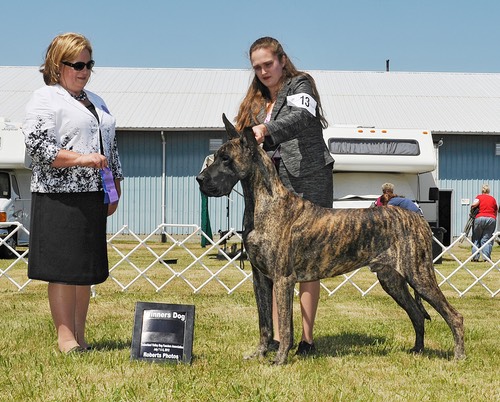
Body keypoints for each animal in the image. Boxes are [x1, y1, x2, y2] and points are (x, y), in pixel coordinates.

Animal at [196, 114, 464, 364]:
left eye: (226, 159)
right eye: (216, 155)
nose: (200, 179)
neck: (263, 203)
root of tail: (417, 217)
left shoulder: (283, 279)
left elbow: (284, 324)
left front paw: (280, 359)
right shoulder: (260, 278)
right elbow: (265, 323)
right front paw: (259, 354)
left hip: (419, 275)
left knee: (454, 316)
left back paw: (458, 356)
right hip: (392, 279)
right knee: (417, 314)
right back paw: (417, 350)